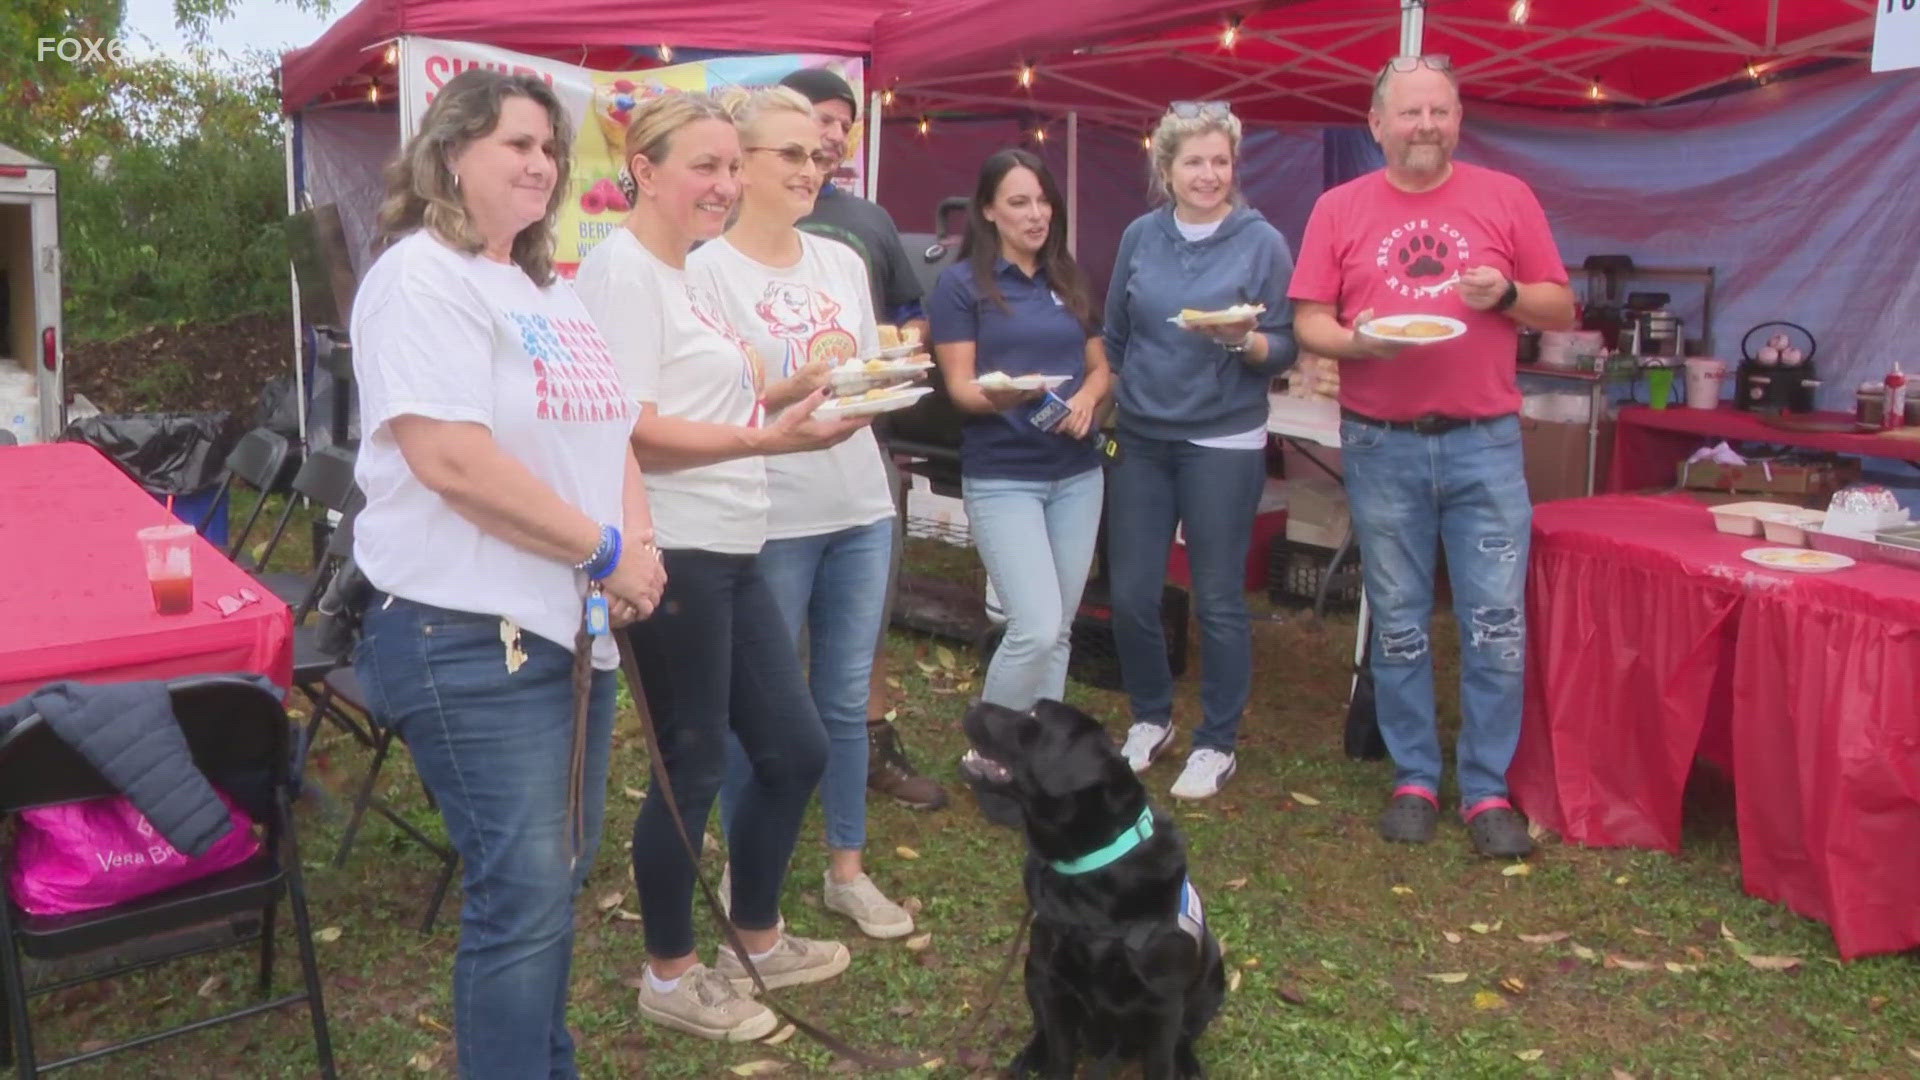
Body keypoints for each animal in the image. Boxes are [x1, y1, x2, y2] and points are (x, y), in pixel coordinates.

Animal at [960, 691, 1228, 1068]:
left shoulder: (1164, 1006)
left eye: (1034, 715)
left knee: (1185, 1037)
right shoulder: (1051, 981)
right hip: (1031, 971)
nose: (971, 702)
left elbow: (1161, 1061)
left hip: (1213, 974)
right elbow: (1059, 1056)